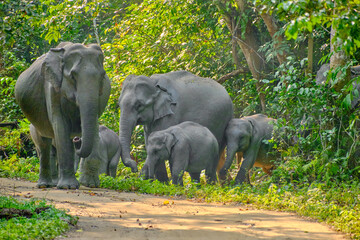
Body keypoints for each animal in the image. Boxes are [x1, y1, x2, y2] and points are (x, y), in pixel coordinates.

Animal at [15, 42, 110, 189]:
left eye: (102, 76)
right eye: (73, 76)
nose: (77, 139)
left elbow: (94, 125)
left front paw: (90, 185)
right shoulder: (51, 89)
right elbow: (60, 125)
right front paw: (68, 187)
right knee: (44, 145)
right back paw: (45, 185)